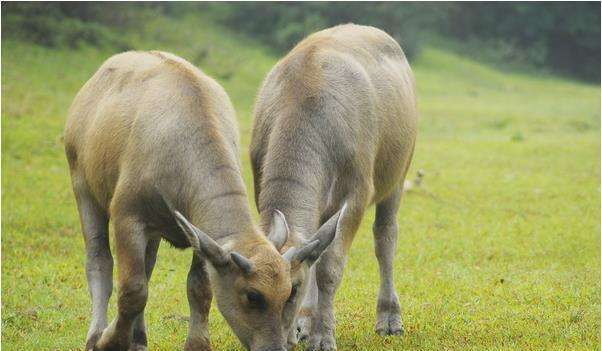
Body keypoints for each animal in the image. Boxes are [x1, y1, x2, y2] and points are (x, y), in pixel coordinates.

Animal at [66, 51, 340, 350]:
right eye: (252, 296)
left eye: (290, 292)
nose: (273, 347)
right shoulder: (127, 219)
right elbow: (133, 290)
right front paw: (110, 341)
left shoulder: (201, 234)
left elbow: (199, 287)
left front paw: (197, 343)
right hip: (83, 188)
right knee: (100, 261)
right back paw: (96, 333)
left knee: (147, 268)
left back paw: (138, 339)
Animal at [250, 23, 418, 350]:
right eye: (250, 293)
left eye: (293, 289)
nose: (276, 339)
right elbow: (314, 257)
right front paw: (306, 327)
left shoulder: (356, 194)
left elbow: (329, 268)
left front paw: (323, 336)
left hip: (397, 175)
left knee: (385, 239)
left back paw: (389, 318)